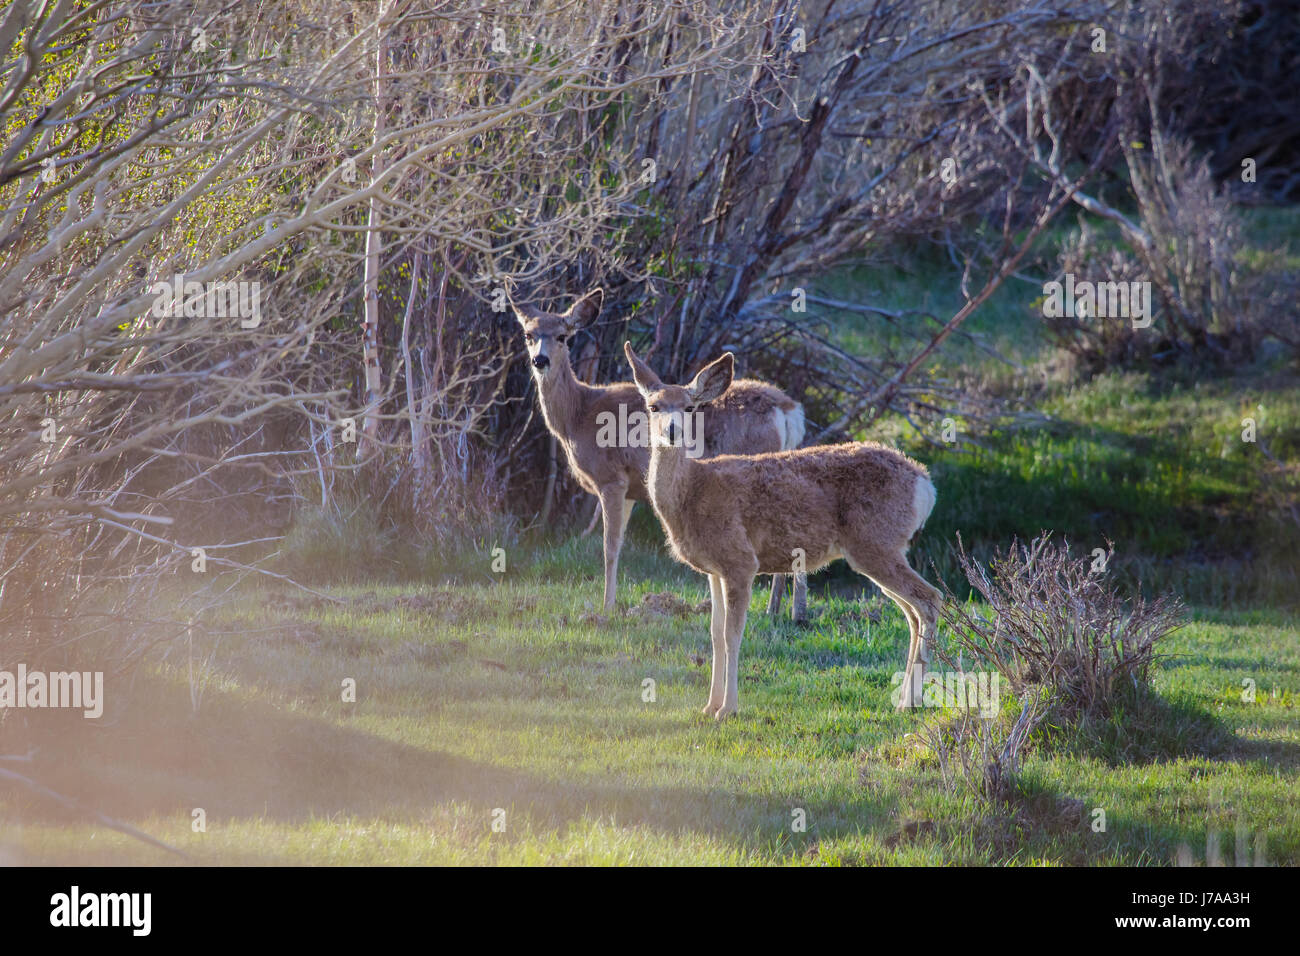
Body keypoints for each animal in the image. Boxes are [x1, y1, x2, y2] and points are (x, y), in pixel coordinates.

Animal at [513, 288, 808, 617]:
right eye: (528, 334)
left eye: (562, 336)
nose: (540, 360)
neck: (578, 416)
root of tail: (789, 410)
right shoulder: (632, 489)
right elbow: (619, 542)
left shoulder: (612, 479)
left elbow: (609, 546)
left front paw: (607, 606)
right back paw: (784, 610)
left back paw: (785, 611)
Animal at [623, 341, 942, 717]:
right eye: (653, 405)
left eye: (689, 406)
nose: (672, 430)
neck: (693, 492)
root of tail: (925, 485)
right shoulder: (713, 569)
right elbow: (715, 635)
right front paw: (708, 706)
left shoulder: (740, 561)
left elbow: (732, 635)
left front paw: (726, 709)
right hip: (885, 548)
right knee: (912, 612)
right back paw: (907, 698)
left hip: (875, 543)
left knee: (930, 600)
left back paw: (910, 701)